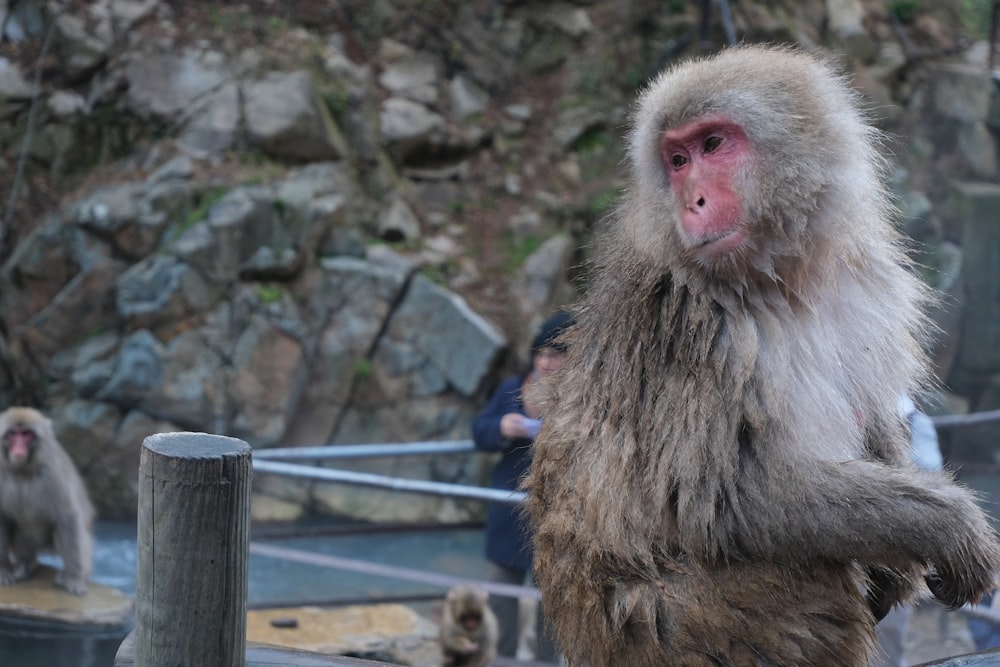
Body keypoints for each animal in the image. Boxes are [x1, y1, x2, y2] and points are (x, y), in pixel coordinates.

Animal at [0, 408, 94, 596]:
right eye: (13, 434)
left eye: (26, 434)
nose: (19, 447)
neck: (22, 470)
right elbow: (2, 518)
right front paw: (4, 570)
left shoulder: (54, 474)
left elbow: (67, 518)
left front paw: (74, 578)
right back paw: (27, 563)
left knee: (64, 530)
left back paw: (69, 574)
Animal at [524, 47, 1000, 667]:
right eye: (677, 160)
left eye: (713, 145)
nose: (692, 201)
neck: (780, 279)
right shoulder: (692, 328)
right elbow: (726, 500)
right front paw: (946, 526)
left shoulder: (859, 282)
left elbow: (874, 414)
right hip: (686, 627)